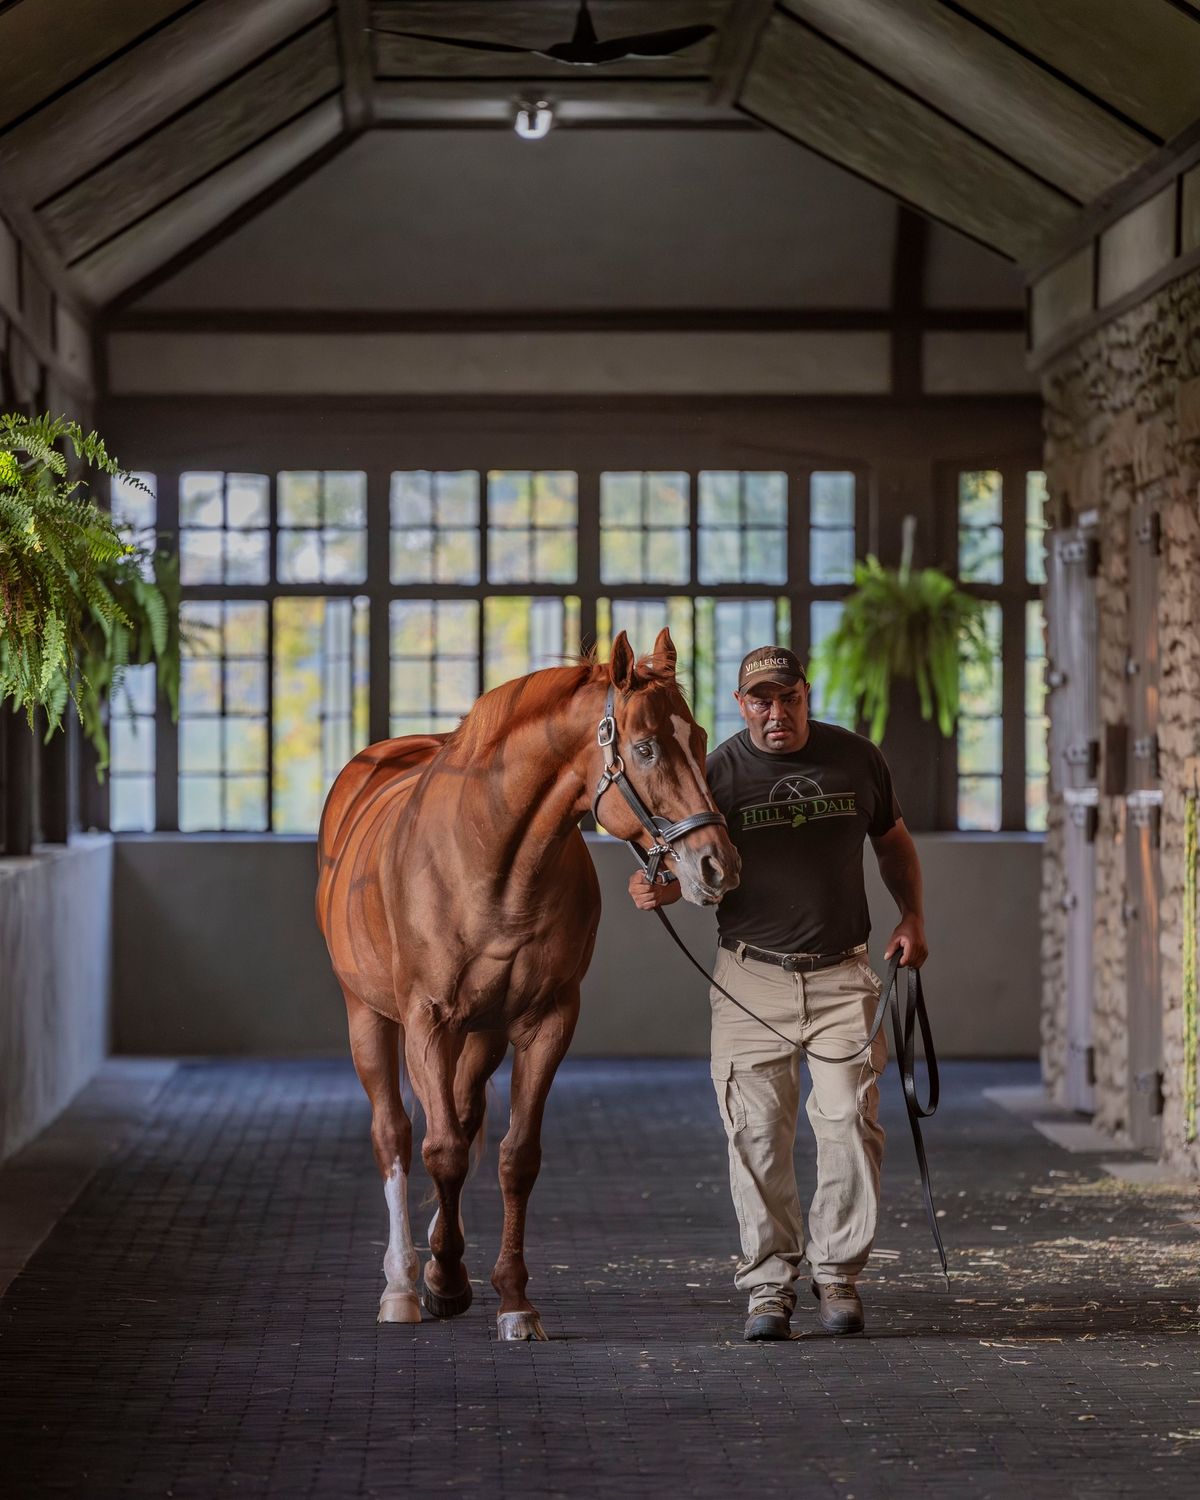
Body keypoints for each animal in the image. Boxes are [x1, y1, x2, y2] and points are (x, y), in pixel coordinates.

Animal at [313, 627, 735, 1344]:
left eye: (701, 737)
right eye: (646, 747)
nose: (717, 866)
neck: (489, 861)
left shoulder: (546, 1022)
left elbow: (515, 1156)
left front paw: (510, 1298)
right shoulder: (427, 1020)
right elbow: (441, 1150)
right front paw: (442, 1285)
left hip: (482, 1035)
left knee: (460, 1113)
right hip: (366, 1015)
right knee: (396, 1135)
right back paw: (403, 1282)